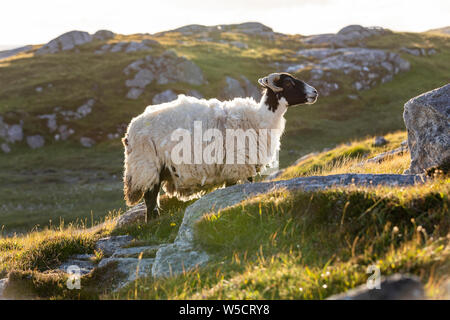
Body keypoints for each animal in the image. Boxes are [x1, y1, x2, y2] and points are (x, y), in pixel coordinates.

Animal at [123, 72, 318, 221]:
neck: (260, 118)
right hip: (146, 165)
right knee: (150, 198)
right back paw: (152, 223)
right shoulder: (235, 165)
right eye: (289, 82)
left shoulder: (246, 166)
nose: (315, 92)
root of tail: (130, 130)